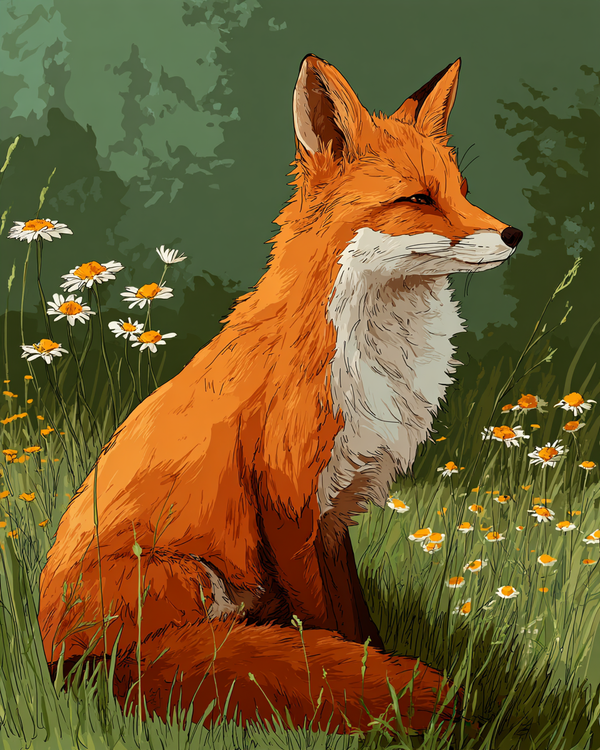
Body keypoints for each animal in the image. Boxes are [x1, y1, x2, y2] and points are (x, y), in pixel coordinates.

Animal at [38, 54, 522, 734]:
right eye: (418, 199)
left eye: (462, 191)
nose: (514, 234)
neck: (376, 360)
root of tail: (59, 656)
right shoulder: (288, 500)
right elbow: (322, 620)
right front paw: (356, 675)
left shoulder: (337, 507)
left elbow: (356, 621)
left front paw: (370, 659)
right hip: (188, 578)